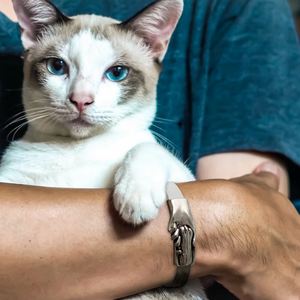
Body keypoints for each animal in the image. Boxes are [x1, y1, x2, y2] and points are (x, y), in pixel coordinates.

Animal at [0, 0, 206, 300]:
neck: (77, 147)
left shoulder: (187, 178)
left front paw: (135, 197)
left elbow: (145, 145)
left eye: (117, 73)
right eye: (57, 66)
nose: (81, 100)